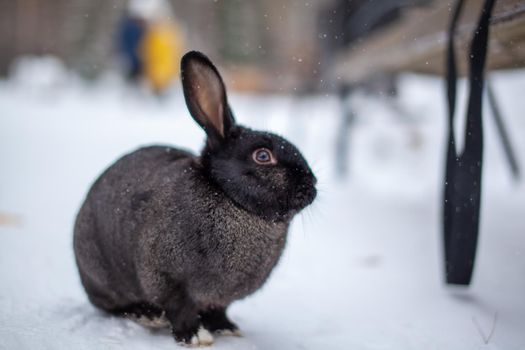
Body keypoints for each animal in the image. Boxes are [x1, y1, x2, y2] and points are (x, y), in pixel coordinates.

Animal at [74, 50, 316, 346]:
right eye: (262, 156)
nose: (312, 185)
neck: (230, 200)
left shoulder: (220, 299)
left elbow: (217, 310)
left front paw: (226, 328)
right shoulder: (167, 278)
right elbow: (179, 308)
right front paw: (194, 336)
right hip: (102, 276)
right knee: (113, 306)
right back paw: (146, 315)